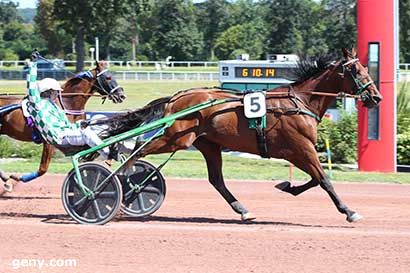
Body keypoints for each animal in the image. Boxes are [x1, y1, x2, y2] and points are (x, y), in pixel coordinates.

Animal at [101, 48, 382, 221]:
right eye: (356, 71)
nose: (376, 97)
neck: (299, 102)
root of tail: (177, 97)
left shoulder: (297, 152)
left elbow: (315, 180)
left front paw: (287, 186)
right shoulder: (301, 148)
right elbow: (324, 180)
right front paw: (349, 211)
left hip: (207, 144)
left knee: (216, 180)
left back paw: (243, 210)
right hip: (177, 138)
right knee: (140, 147)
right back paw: (123, 178)